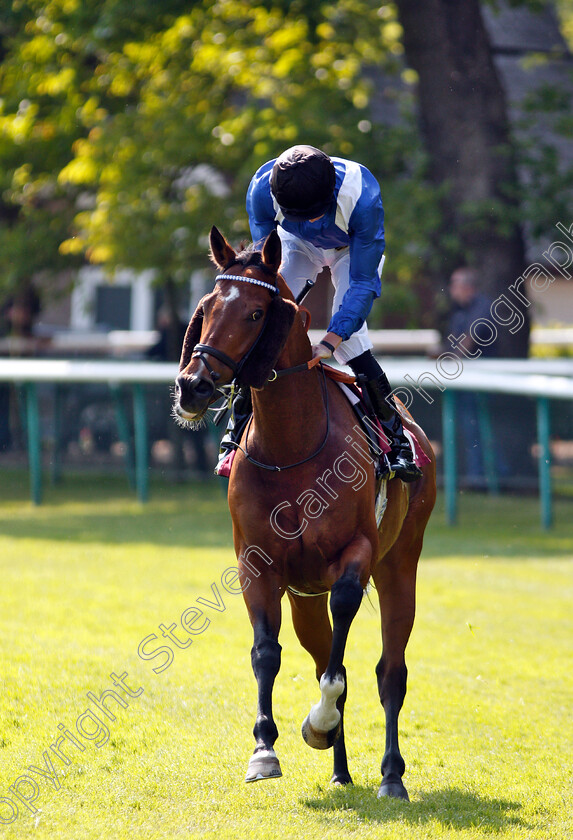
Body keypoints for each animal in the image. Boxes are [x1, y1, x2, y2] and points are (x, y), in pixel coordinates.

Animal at [173, 225, 434, 800]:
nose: (193, 385)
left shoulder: (355, 555)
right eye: (206, 306)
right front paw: (264, 750)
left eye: (254, 313)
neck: (291, 445)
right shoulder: (259, 564)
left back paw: (390, 774)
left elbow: (343, 659)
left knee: (390, 671)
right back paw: (340, 769)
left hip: (399, 566)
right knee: (323, 657)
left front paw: (318, 723)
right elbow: (268, 654)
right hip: (304, 596)